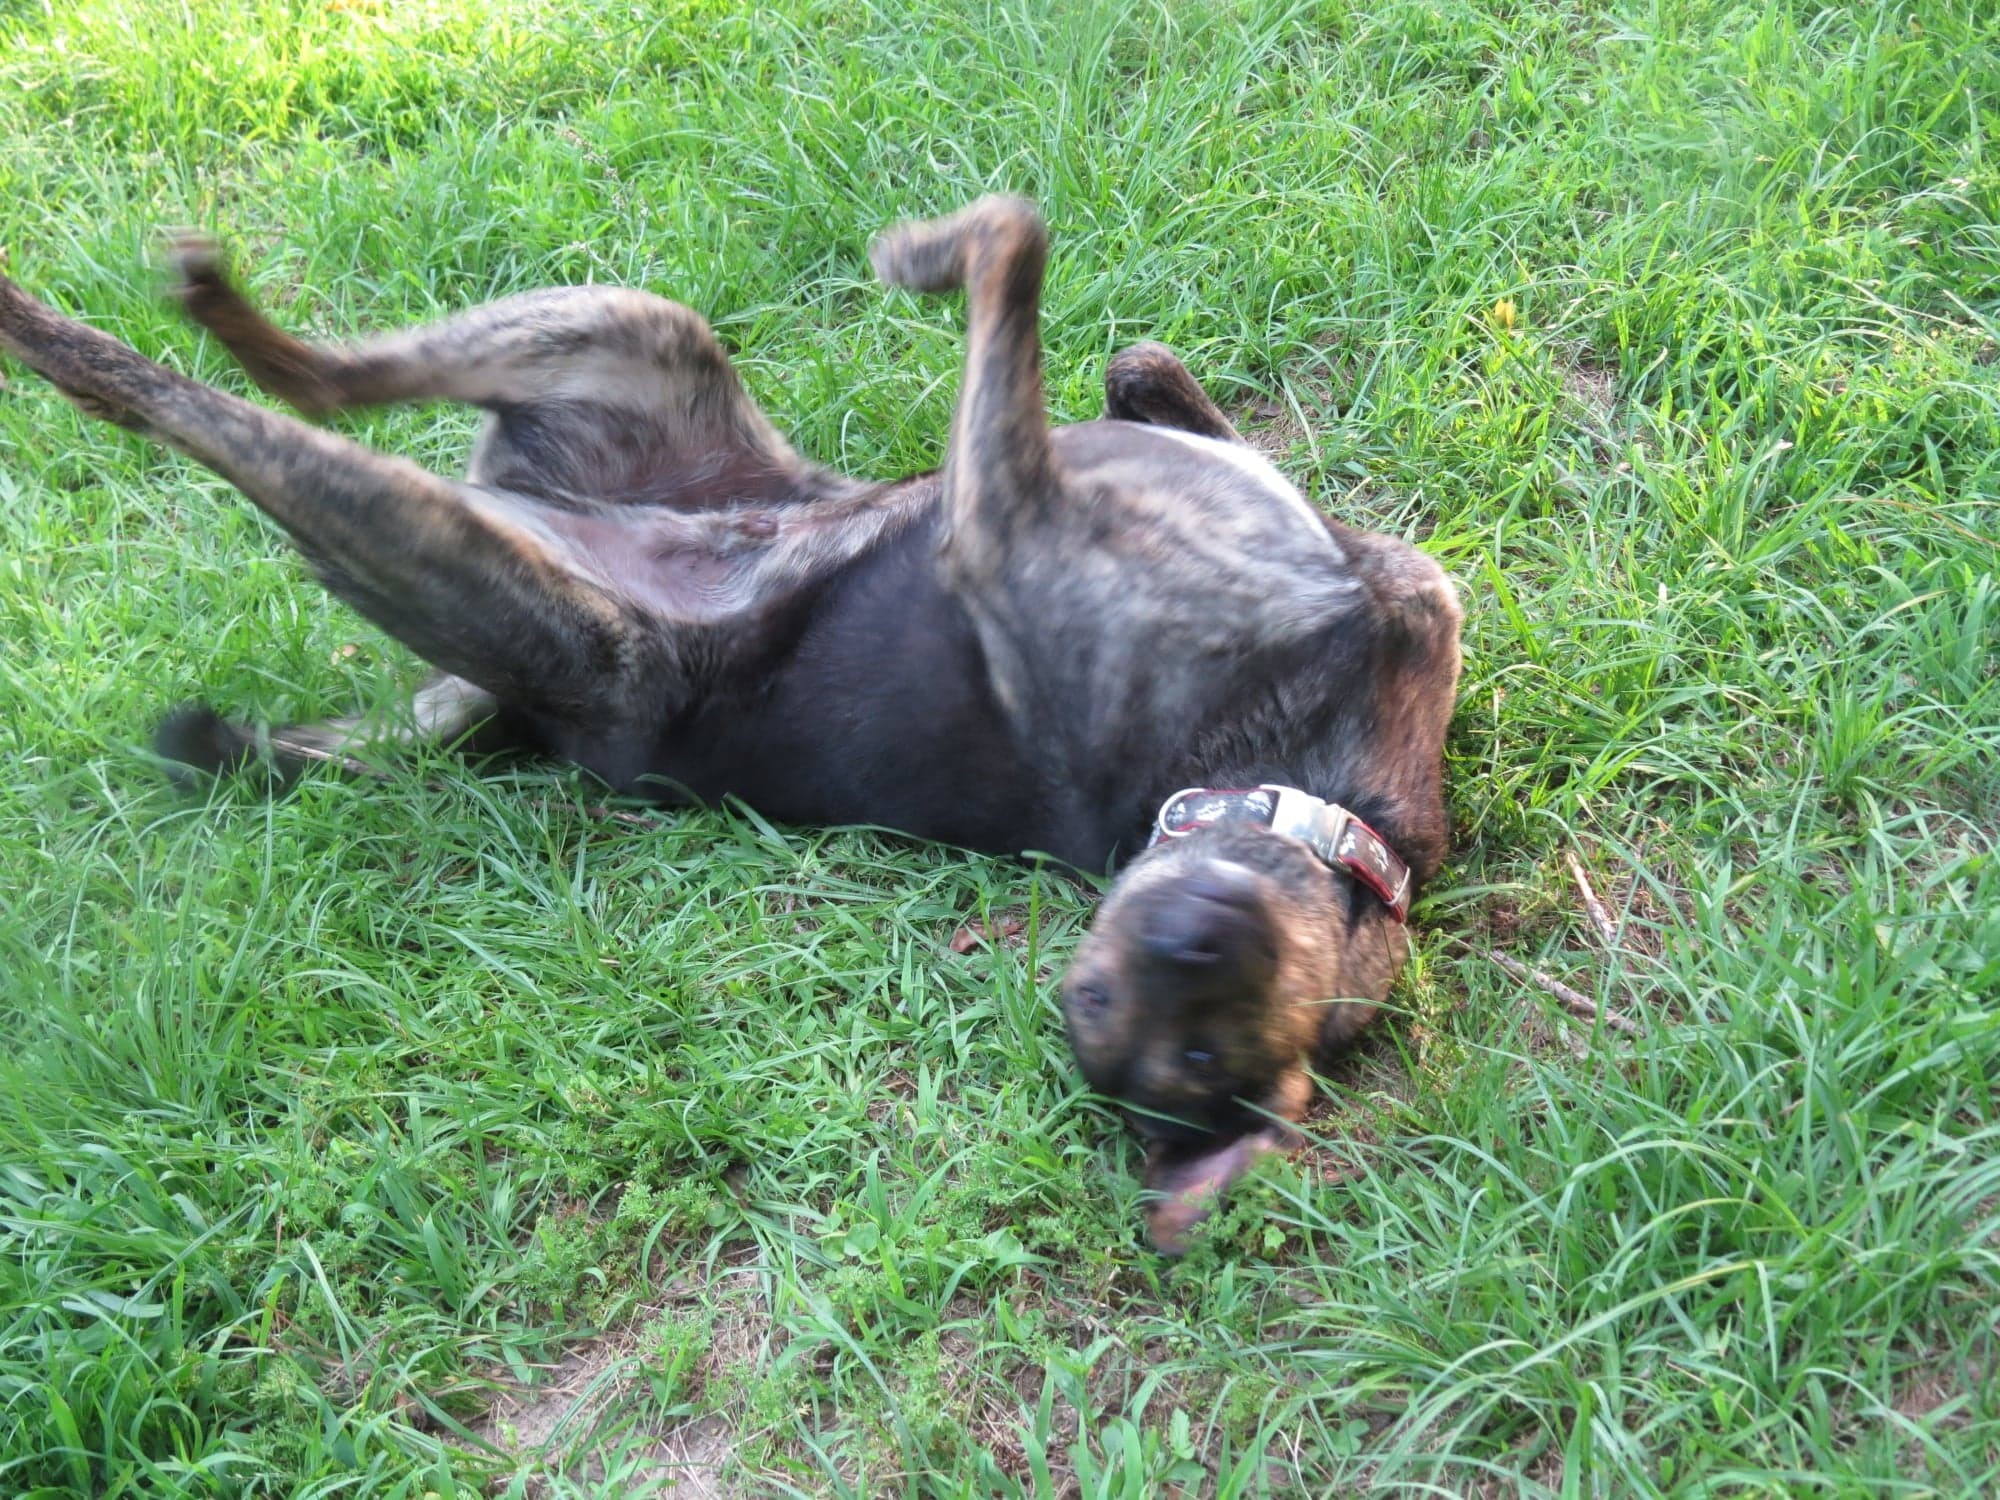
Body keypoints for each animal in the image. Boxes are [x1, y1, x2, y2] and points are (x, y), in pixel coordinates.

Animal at [3, 200, 1472, 1256]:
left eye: (1200, 1054)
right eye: (1105, 995)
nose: (1189, 936)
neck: (1318, 807)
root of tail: (535, 722)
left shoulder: (1013, 517)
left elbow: (1017, 246)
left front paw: (932, 253)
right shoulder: (1041, 498)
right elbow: (1106, 330)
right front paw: (950, 266)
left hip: (483, 559)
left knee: (204, 408)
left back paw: (107, 331)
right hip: (627, 334)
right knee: (319, 382)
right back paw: (214, 315)